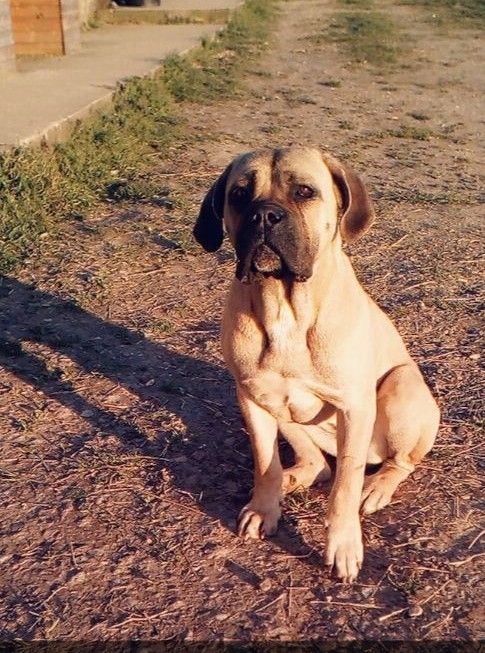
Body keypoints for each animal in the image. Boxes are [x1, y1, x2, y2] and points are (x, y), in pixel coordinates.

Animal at [192, 146, 438, 580]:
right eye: (239, 194)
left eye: (305, 192)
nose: (264, 215)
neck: (284, 304)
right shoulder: (252, 396)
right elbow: (265, 462)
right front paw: (265, 508)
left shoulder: (355, 407)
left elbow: (345, 486)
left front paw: (343, 544)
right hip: (284, 409)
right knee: (317, 463)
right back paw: (294, 477)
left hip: (401, 387)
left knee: (396, 462)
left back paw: (377, 486)